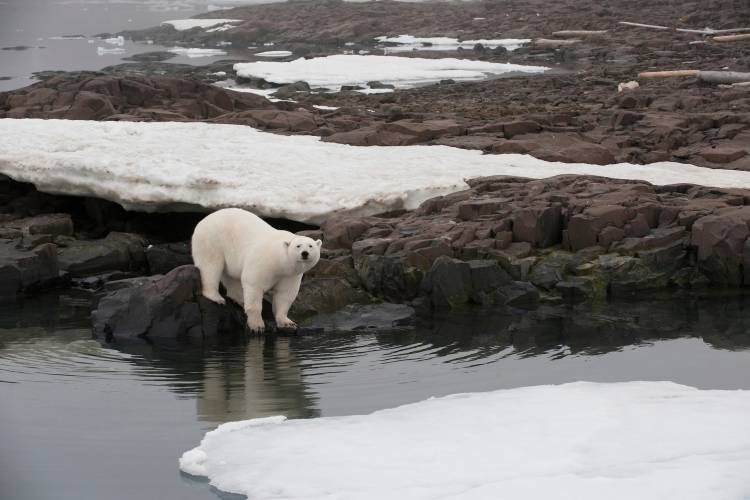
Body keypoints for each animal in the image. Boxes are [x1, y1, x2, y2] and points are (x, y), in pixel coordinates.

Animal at [189, 207, 322, 332]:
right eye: (298, 246)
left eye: (310, 246)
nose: (305, 253)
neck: (280, 261)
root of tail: (203, 220)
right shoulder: (264, 262)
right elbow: (254, 285)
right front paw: (257, 325)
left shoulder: (290, 275)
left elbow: (285, 295)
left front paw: (287, 322)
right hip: (212, 240)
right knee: (211, 266)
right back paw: (217, 298)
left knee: (231, 277)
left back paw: (239, 299)